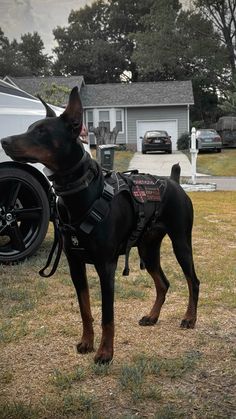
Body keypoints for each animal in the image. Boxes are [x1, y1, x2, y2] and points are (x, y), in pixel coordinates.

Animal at [0, 88, 200, 364]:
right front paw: (87, 342)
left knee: (193, 281)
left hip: (181, 241)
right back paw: (152, 316)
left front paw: (105, 352)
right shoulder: (75, 264)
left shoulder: (106, 265)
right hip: (148, 248)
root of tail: (173, 181)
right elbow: (85, 309)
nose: (4, 141)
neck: (79, 193)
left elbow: (107, 315)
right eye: (30, 128)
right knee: (163, 283)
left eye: (42, 132)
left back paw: (189, 318)